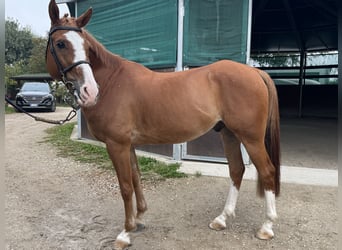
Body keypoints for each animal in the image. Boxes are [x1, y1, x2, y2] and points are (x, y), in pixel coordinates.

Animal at [46, 0, 280, 249]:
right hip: (229, 134)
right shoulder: (128, 145)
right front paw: (138, 219)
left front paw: (125, 233)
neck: (112, 83)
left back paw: (266, 227)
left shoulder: (117, 145)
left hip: (251, 138)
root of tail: (254, 71)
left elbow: (126, 186)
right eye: (60, 43)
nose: (90, 91)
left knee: (267, 171)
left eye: (86, 46)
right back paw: (222, 219)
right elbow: (136, 179)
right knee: (237, 170)